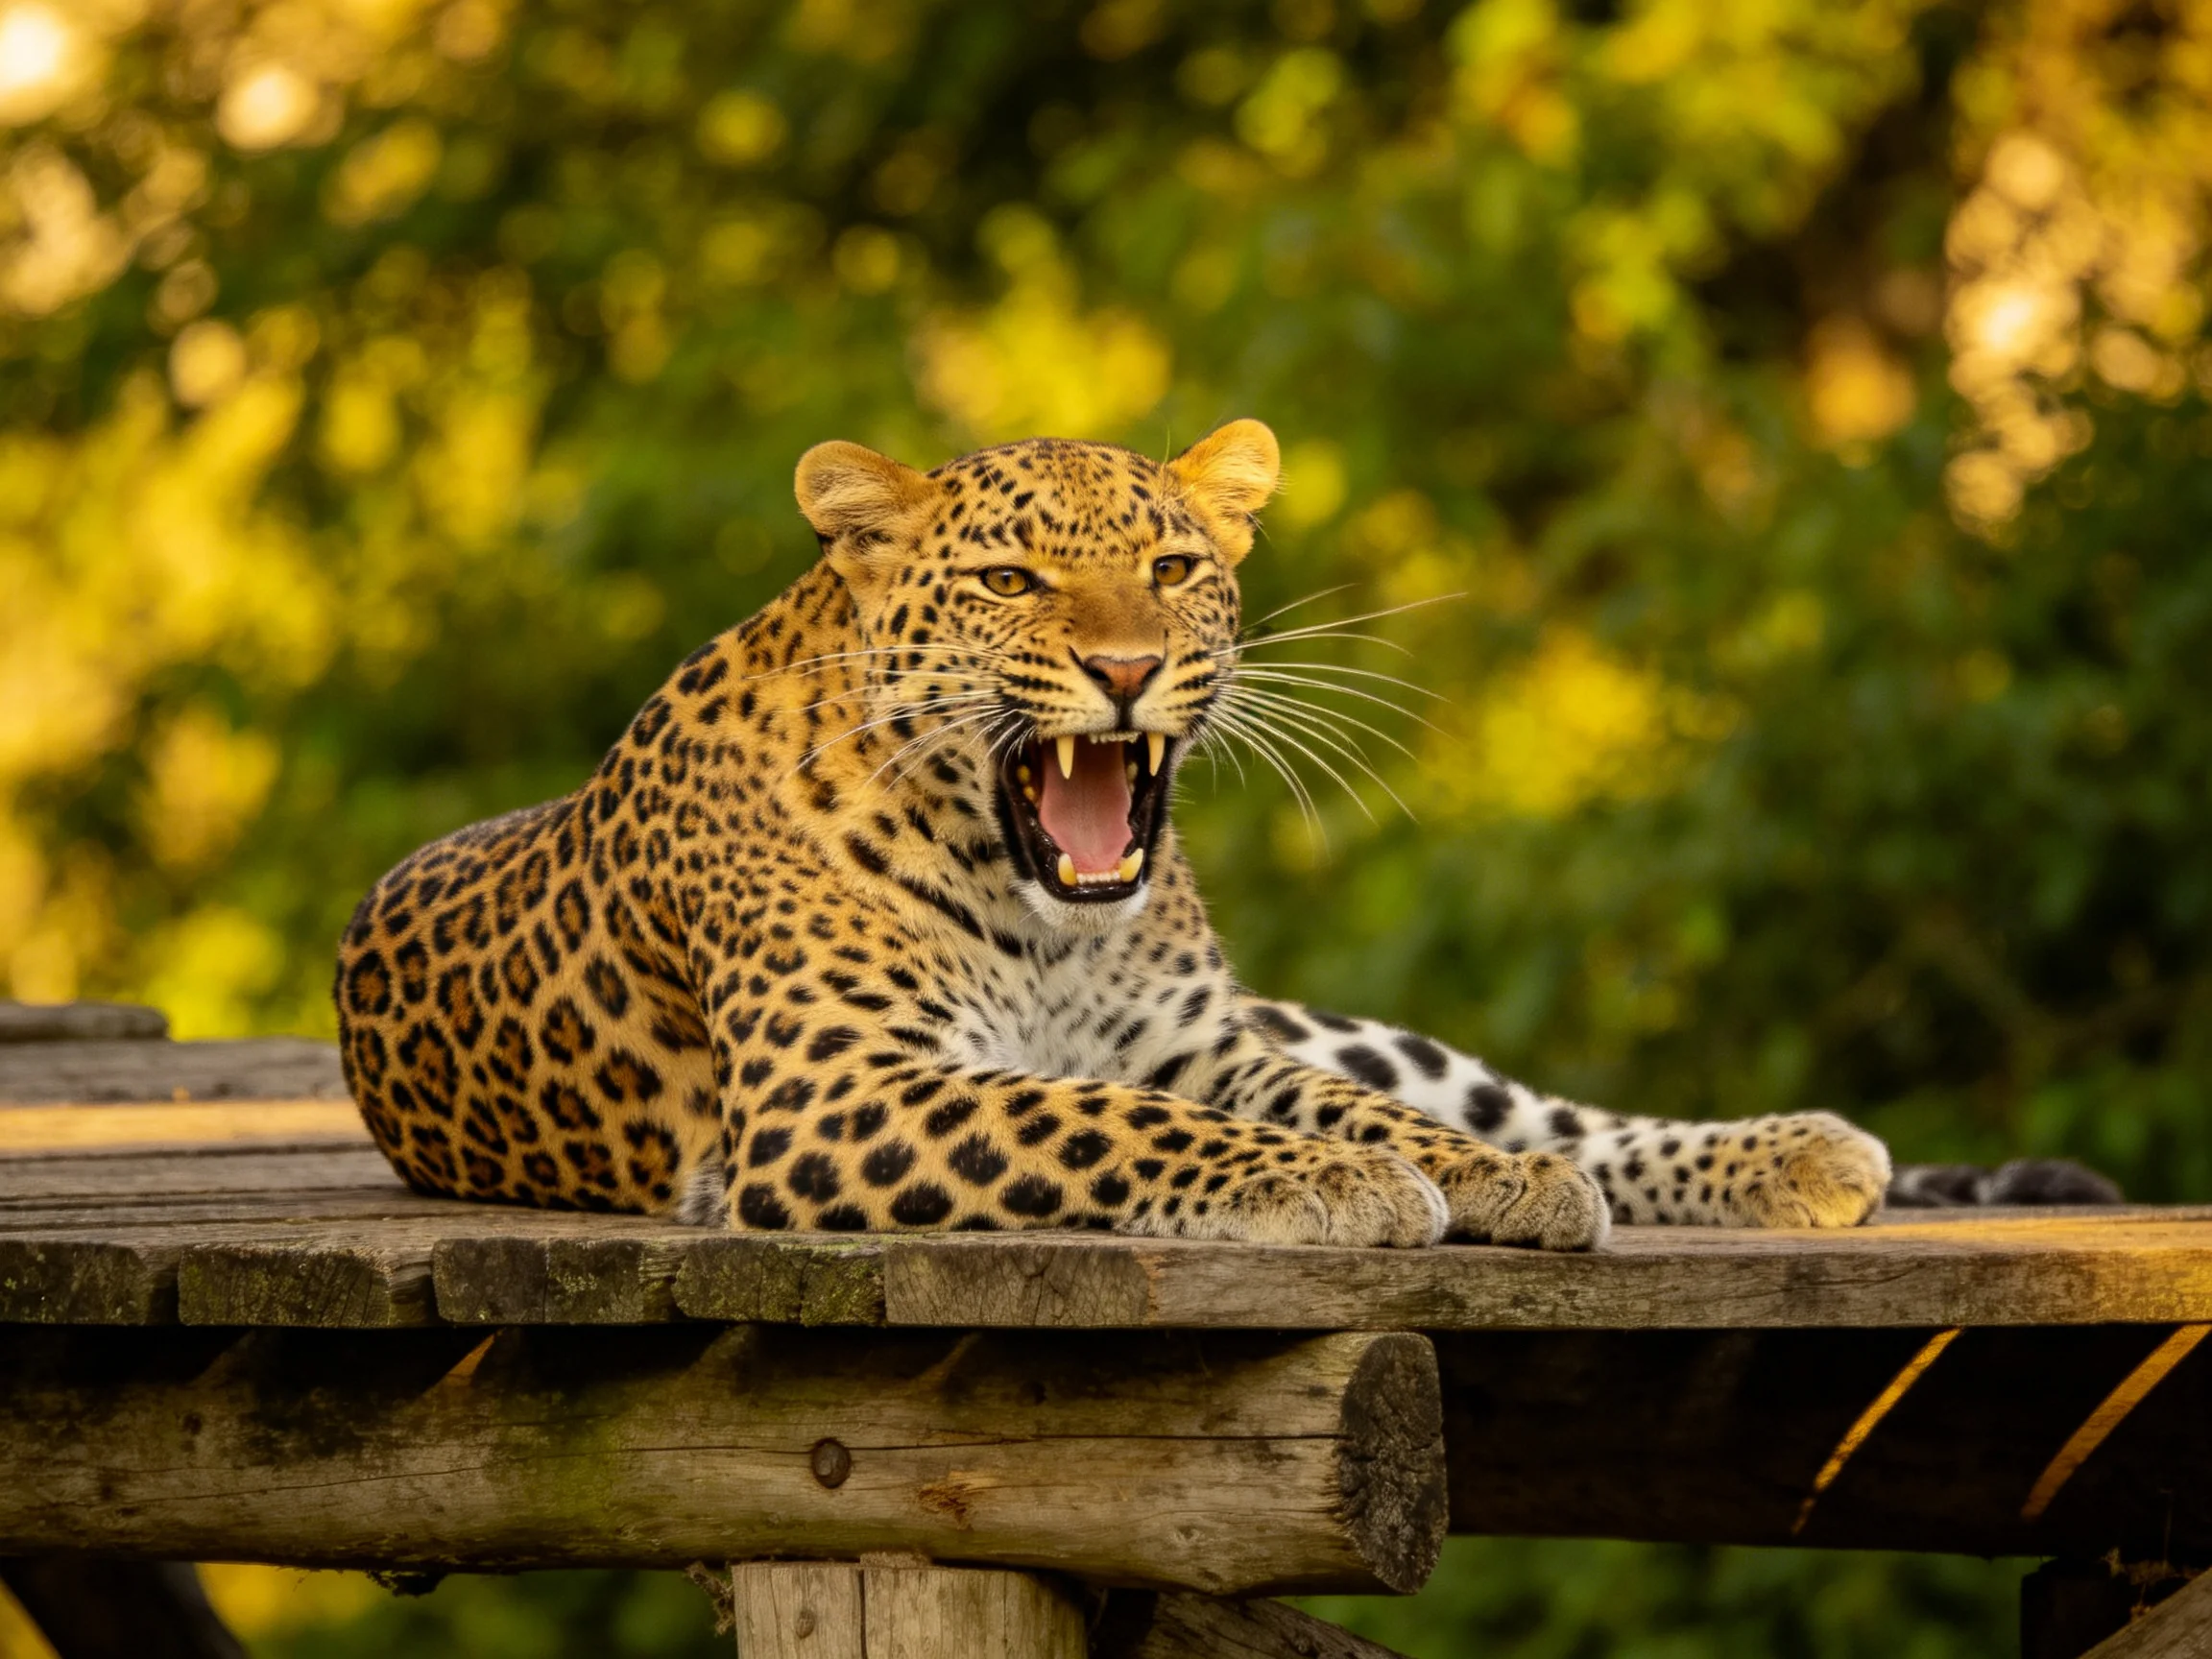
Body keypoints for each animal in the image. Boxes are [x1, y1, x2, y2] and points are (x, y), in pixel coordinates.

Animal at [334, 420, 2114, 1248]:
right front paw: (1342, 1188)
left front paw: (1473, 1181)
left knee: (1518, 1100)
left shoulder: (1199, 1041)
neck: (1037, 909)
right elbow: (1108, 1126)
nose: (1127, 668)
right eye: (1010, 581)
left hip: (1309, 1013)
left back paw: (1778, 1155)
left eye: (1177, 568)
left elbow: (1352, 1111)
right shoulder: (839, 1093)